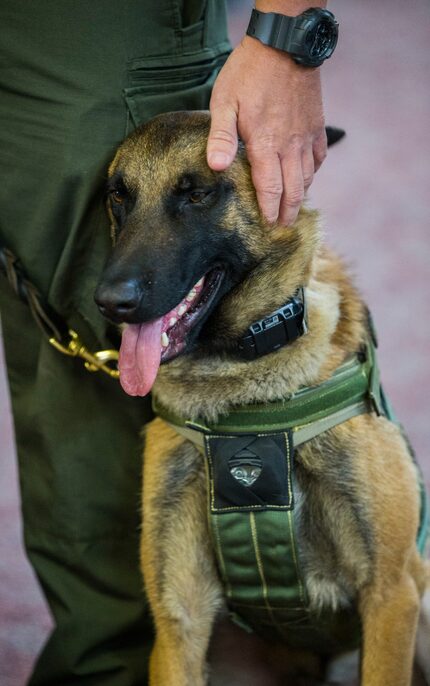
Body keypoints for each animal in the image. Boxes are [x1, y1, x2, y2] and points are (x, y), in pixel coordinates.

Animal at [95, 113, 430, 686]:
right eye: (120, 196)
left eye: (197, 194)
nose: (111, 302)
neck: (243, 383)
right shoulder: (179, 621)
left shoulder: (392, 597)